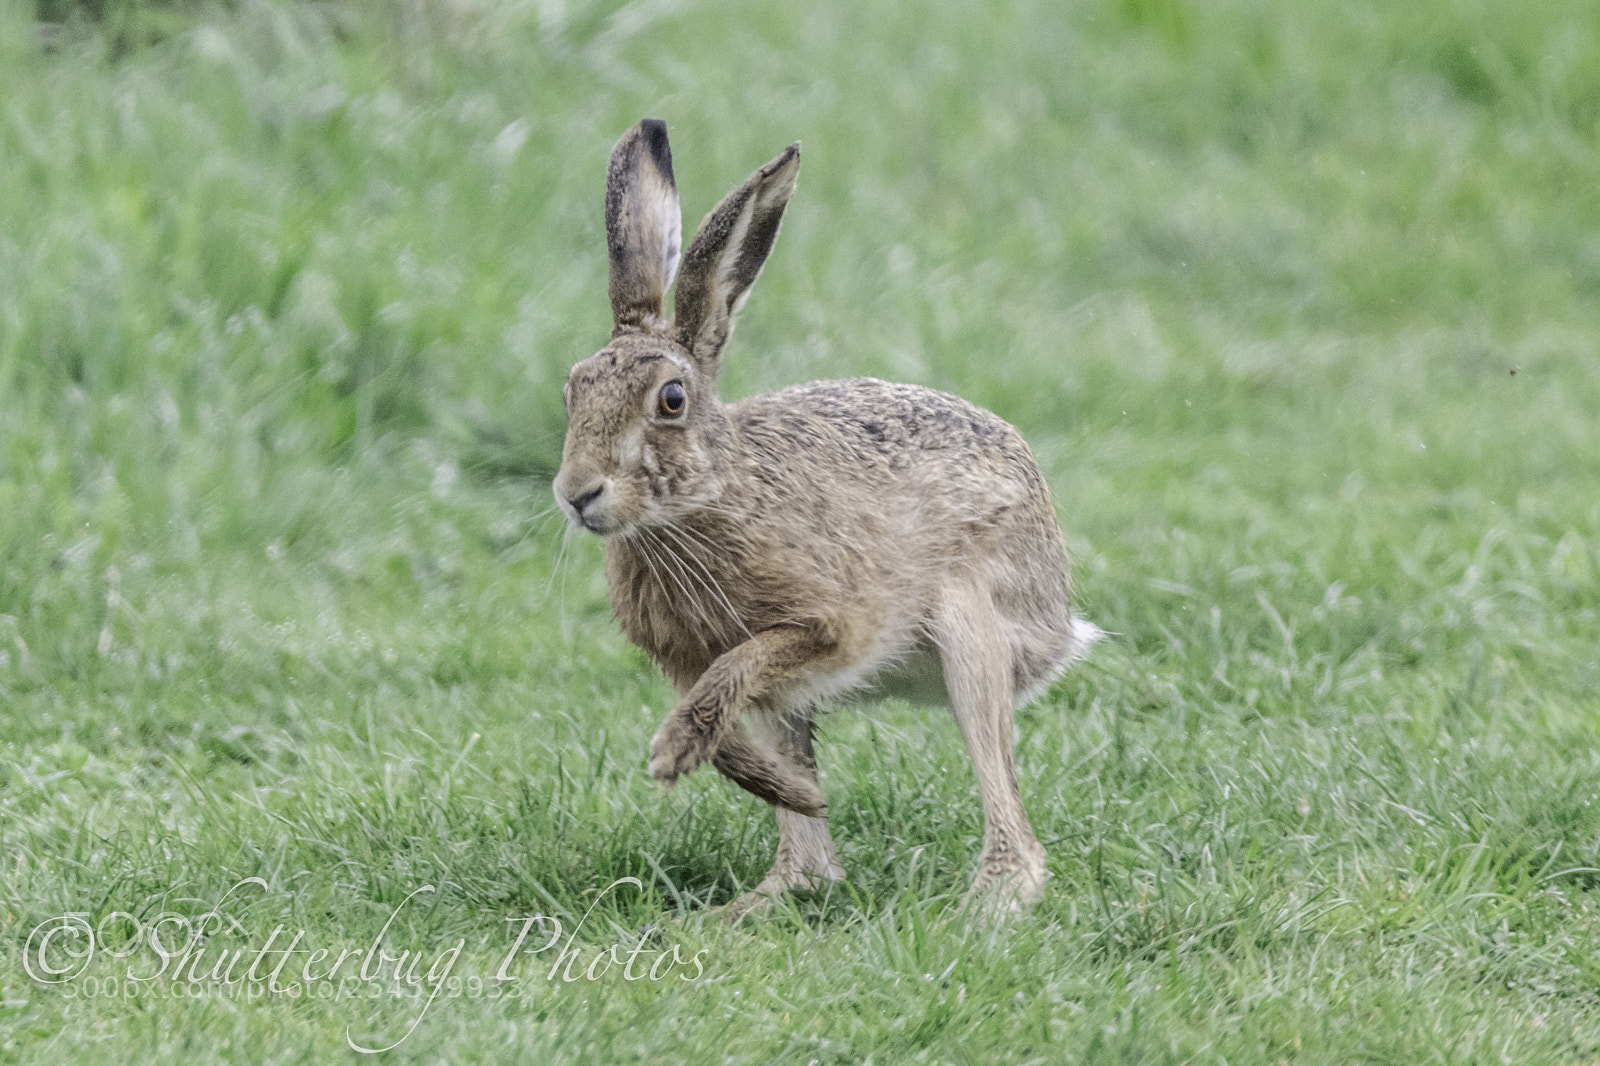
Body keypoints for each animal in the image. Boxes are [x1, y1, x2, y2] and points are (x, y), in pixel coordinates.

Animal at [552, 119, 1102, 917]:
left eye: (671, 400)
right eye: (573, 389)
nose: (576, 492)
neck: (703, 505)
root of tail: (1062, 621)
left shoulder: (832, 625)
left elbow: (739, 667)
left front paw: (672, 752)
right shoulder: (694, 666)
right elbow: (726, 719)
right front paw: (779, 785)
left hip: (973, 625)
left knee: (1008, 810)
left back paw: (984, 905)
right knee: (810, 864)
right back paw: (758, 895)